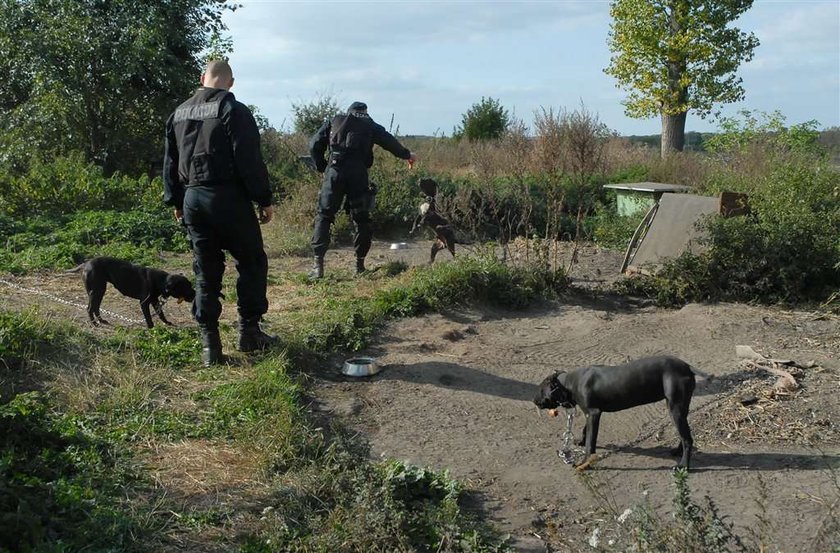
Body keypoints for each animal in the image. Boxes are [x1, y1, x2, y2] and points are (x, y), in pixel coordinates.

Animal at [67, 258, 195, 330]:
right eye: (186, 287)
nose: (195, 294)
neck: (161, 281)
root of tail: (86, 264)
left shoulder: (154, 301)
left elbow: (161, 314)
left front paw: (167, 323)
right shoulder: (144, 303)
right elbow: (149, 318)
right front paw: (152, 329)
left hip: (99, 291)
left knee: (95, 307)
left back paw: (102, 321)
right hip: (97, 291)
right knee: (90, 308)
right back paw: (95, 324)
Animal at [532, 356, 704, 468]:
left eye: (540, 389)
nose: (533, 400)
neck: (568, 383)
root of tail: (687, 366)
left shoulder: (594, 413)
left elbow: (590, 444)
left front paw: (584, 462)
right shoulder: (590, 414)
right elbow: (586, 430)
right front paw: (580, 441)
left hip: (675, 408)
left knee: (687, 439)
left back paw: (683, 466)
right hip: (679, 408)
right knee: (685, 435)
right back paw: (677, 452)